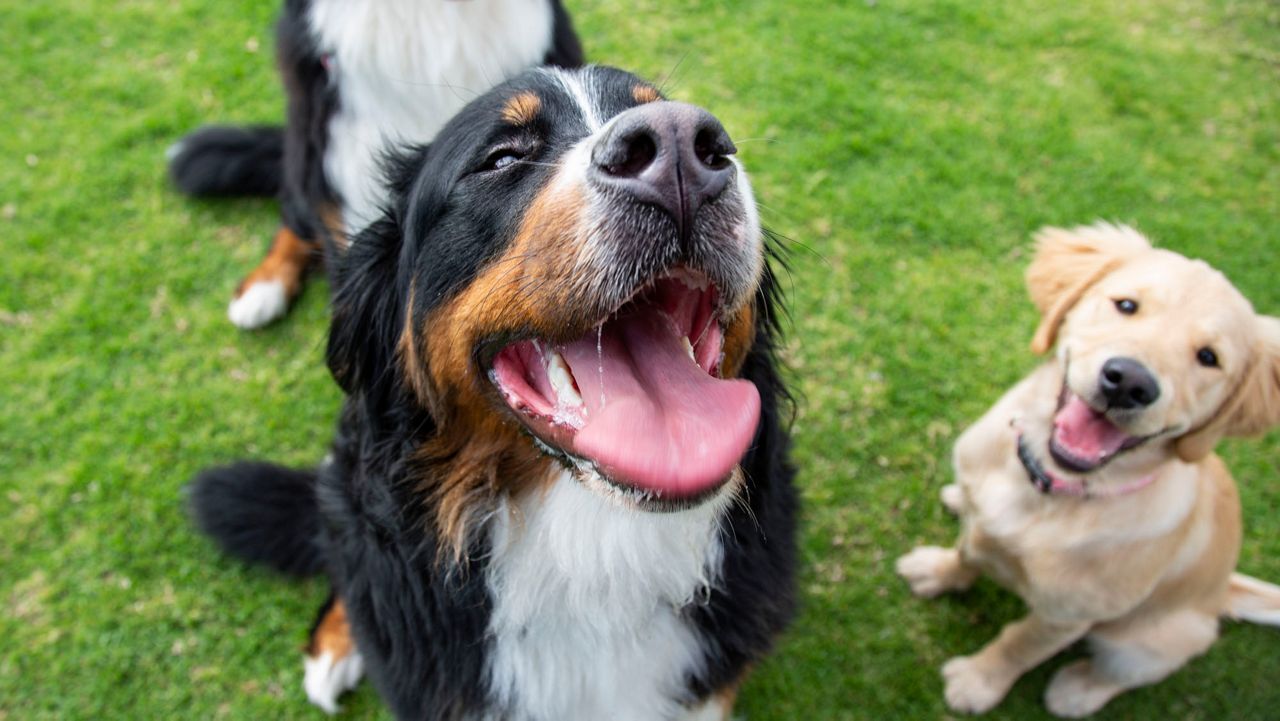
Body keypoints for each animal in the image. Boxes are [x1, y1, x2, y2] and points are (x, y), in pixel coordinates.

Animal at [896, 224, 1280, 717]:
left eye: (1209, 357)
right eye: (1127, 305)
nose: (1130, 382)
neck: (1047, 489)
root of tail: (1222, 594)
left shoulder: (1067, 616)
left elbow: (1020, 644)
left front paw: (977, 682)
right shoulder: (984, 526)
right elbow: (966, 553)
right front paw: (938, 572)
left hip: (1156, 641)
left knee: (1122, 673)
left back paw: (1078, 690)